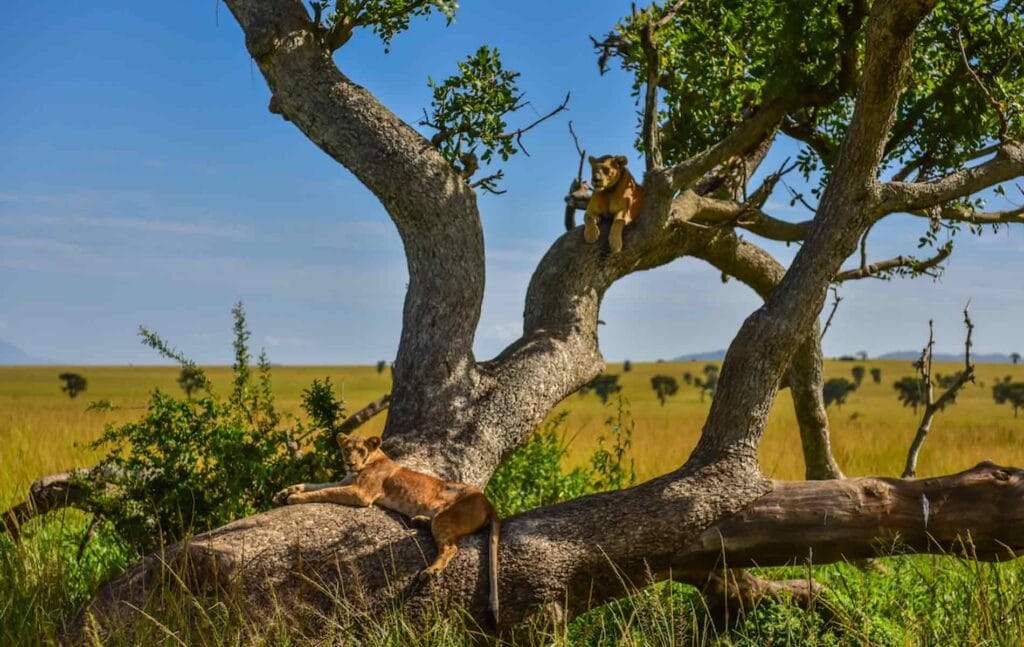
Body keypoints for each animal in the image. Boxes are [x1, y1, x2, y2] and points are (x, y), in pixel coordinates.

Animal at [274, 435, 502, 622]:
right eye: (346, 449)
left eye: (361, 450)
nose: (350, 463)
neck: (370, 461)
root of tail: (488, 503)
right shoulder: (345, 482)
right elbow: (316, 485)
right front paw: (285, 492)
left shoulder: (361, 493)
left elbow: (325, 492)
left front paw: (295, 497)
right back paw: (419, 520)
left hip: (445, 518)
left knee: (450, 547)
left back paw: (431, 571)